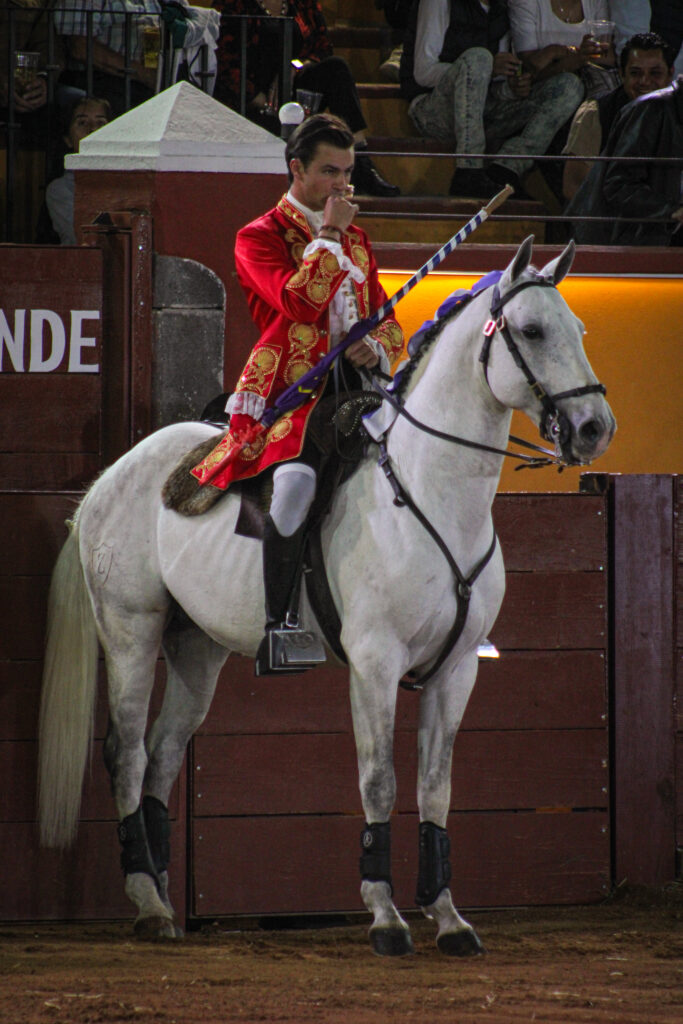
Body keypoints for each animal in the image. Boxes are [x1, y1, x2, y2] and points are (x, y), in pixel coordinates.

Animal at [37, 237, 614, 950]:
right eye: (531, 331)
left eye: (579, 329)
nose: (594, 428)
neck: (432, 494)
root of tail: (109, 478)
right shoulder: (374, 664)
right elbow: (379, 779)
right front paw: (386, 916)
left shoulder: (457, 669)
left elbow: (436, 786)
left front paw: (449, 918)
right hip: (130, 631)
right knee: (126, 754)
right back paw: (146, 902)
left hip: (196, 648)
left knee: (164, 755)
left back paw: (168, 900)